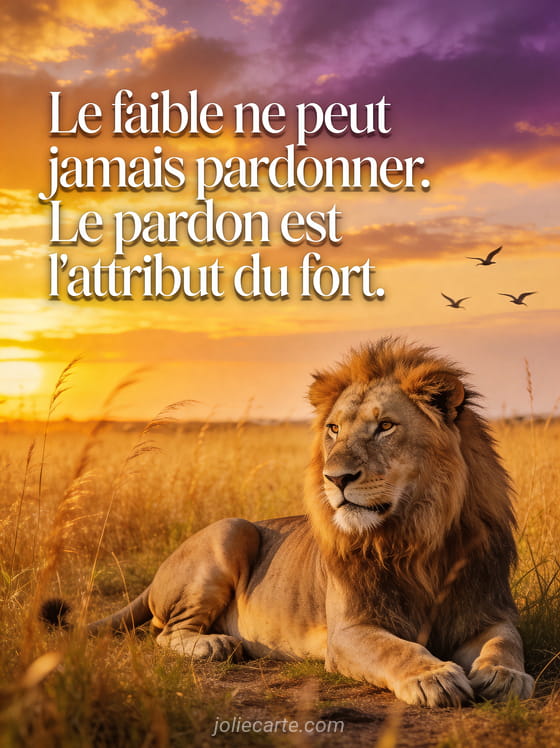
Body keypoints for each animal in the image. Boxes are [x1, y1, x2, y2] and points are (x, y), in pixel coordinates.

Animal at [45, 338, 534, 707]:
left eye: (386, 427)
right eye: (334, 429)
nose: (336, 478)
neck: (416, 538)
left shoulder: (487, 611)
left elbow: (507, 642)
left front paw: (504, 675)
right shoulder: (349, 632)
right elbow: (396, 647)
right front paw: (432, 676)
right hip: (232, 529)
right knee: (163, 632)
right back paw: (215, 644)